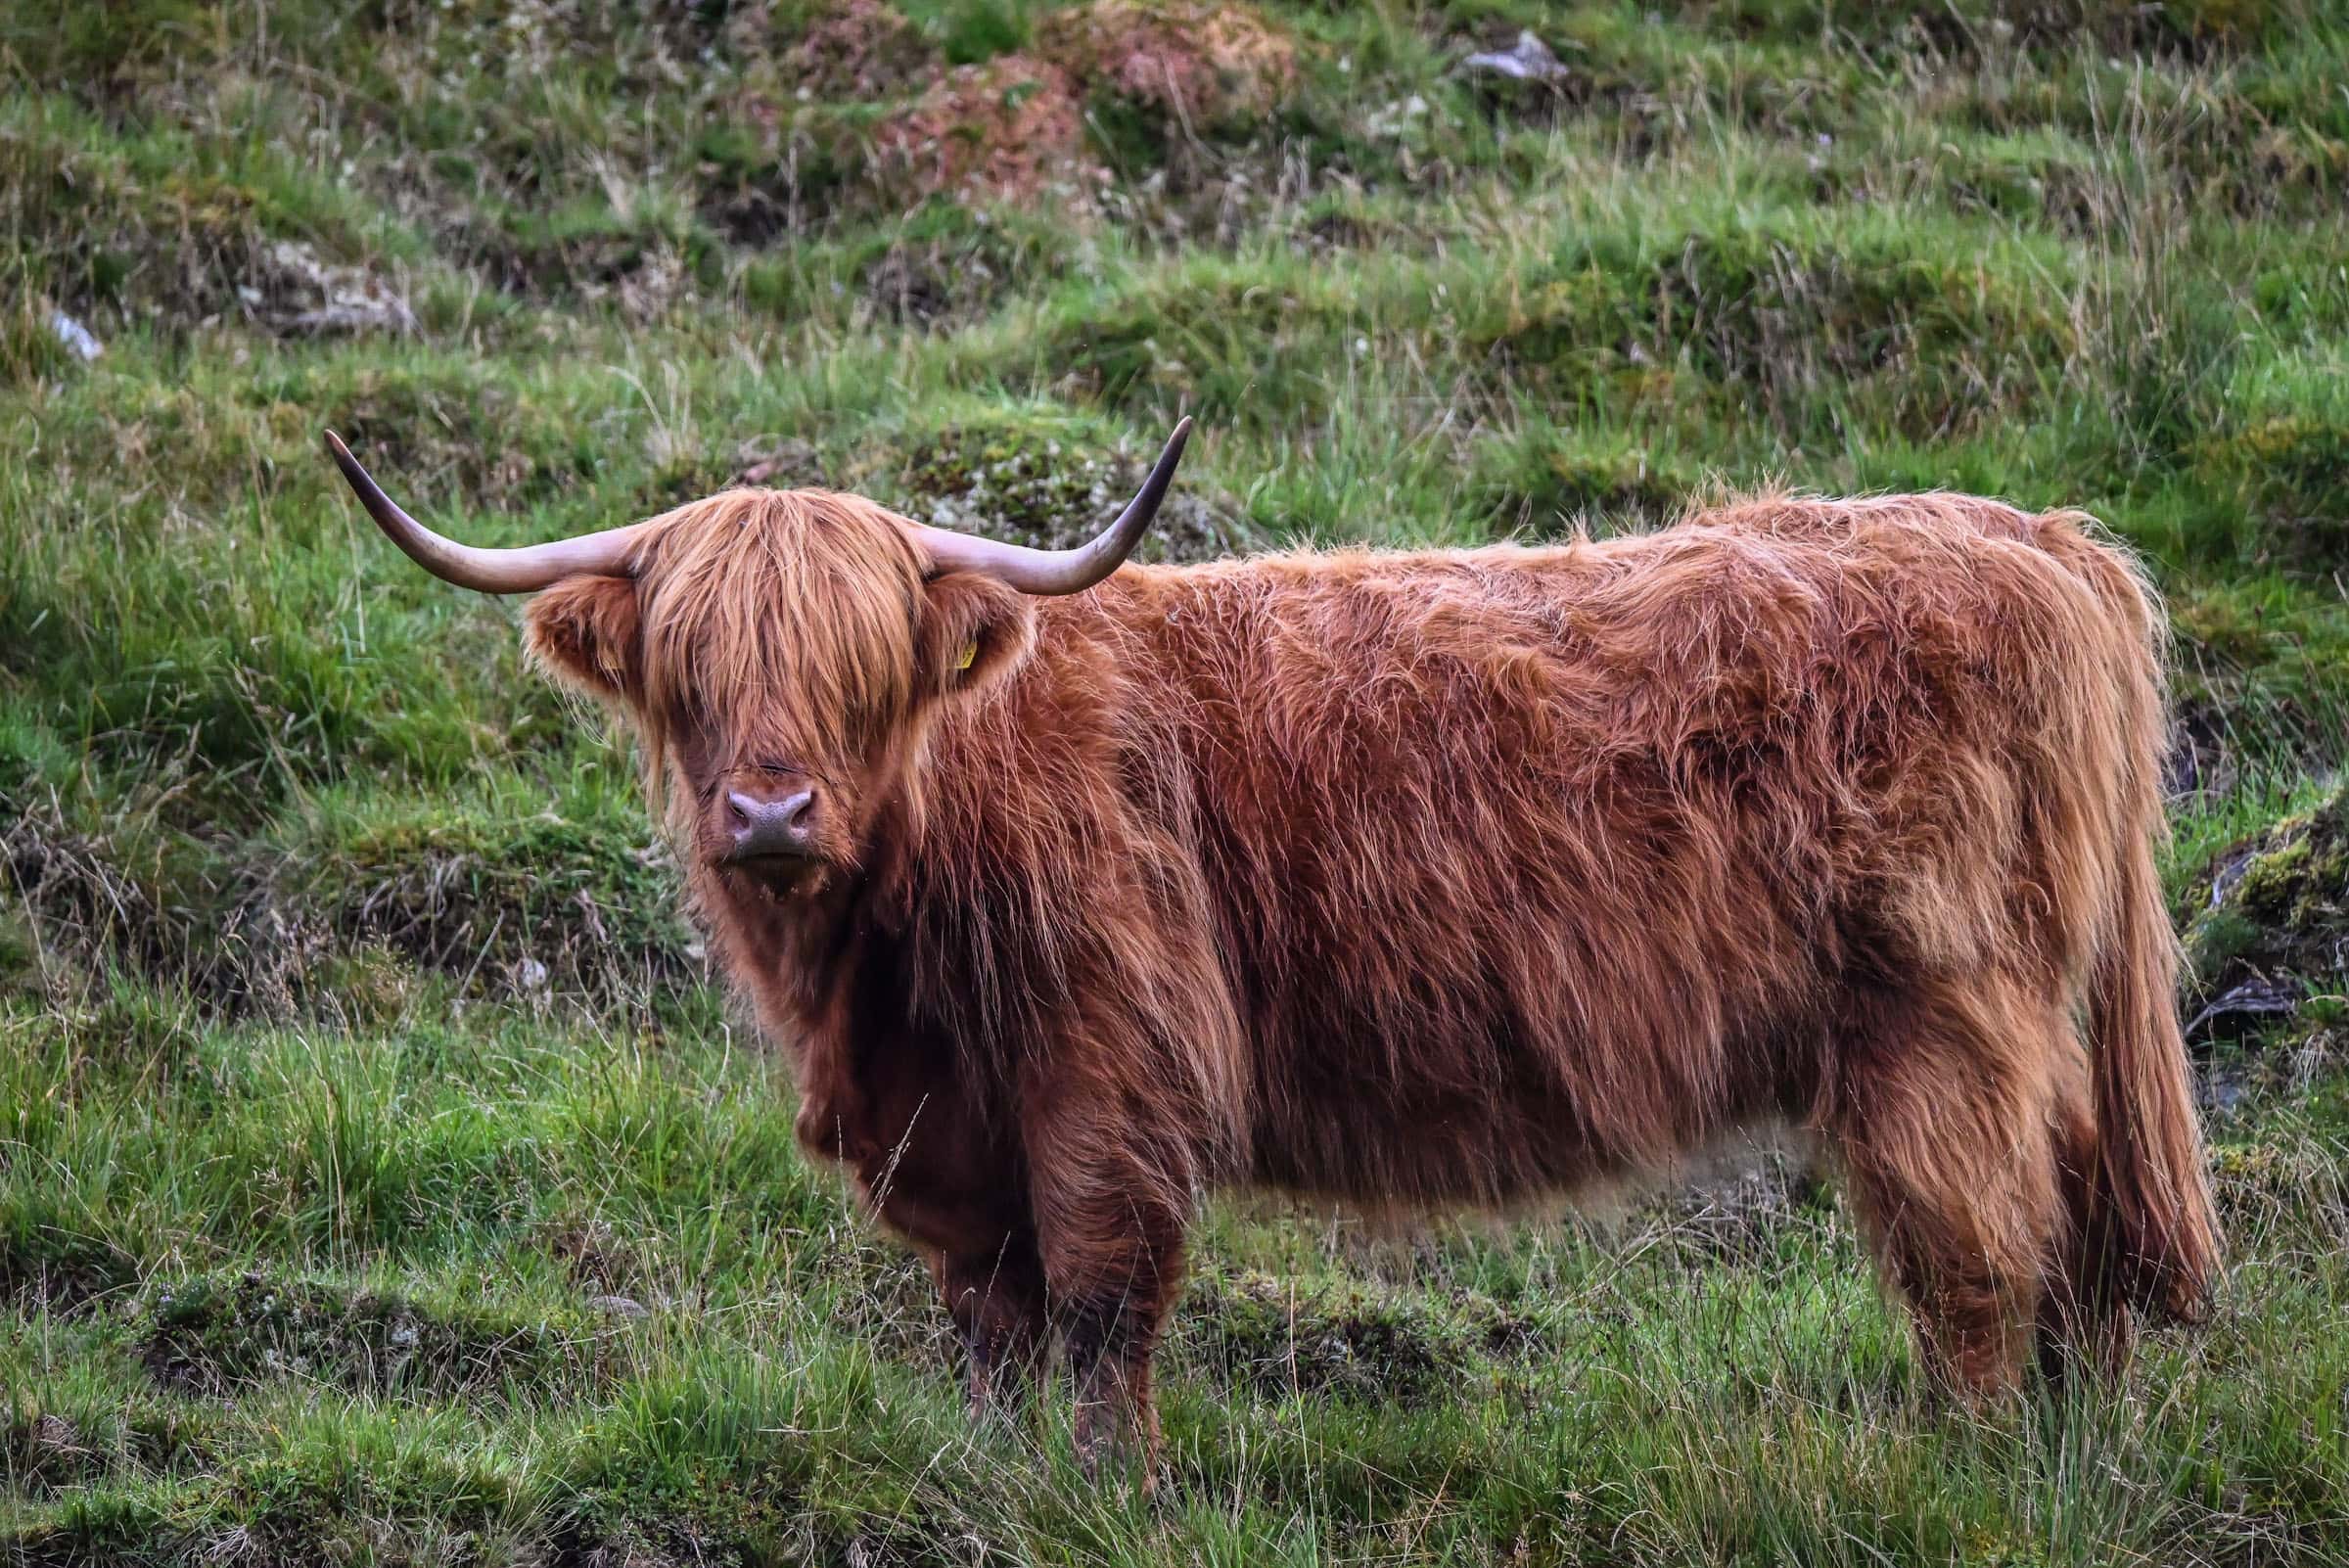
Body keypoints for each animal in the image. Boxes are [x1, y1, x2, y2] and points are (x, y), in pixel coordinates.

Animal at [326, 420, 2217, 1474]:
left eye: (863, 664)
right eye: (692, 664)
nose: (772, 809)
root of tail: (2044, 543)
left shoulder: (1114, 1062)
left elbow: (1102, 1300)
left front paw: (1113, 1490)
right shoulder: (952, 1123)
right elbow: (991, 1318)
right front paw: (1001, 1474)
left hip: (1938, 1016)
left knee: (1978, 1255)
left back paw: (1969, 1469)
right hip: (2028, 1022)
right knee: (2082, 1234)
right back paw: (2076, 1451)